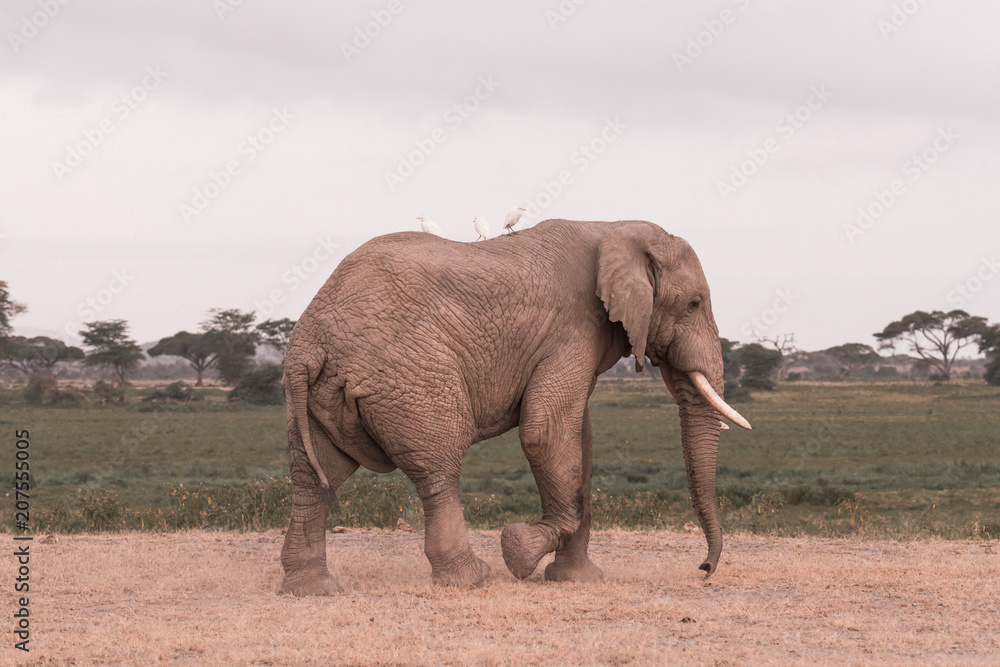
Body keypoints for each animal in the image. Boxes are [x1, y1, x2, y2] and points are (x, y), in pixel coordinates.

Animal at [279, 219, 751, 595]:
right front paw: (522, 550)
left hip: (320, 394)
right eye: (693, 304)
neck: (614, 226)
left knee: (314, 474)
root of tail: (308, 343)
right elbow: (545, 431)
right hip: (407, 375)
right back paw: (471, 579)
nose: (704, 569)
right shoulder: (574, 327)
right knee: (438, 468)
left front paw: (576, 579)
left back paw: (312, 589)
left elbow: (579, 436)